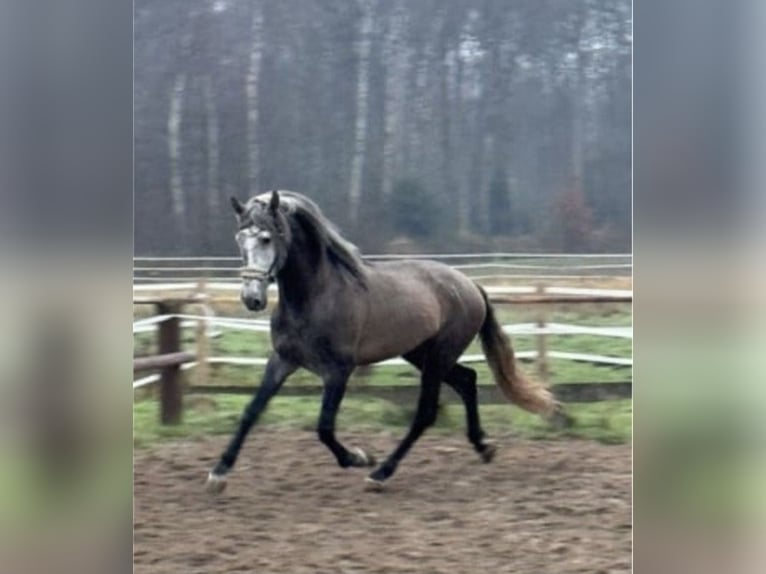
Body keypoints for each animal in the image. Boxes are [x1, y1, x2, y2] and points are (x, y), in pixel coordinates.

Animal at [206, 190, 564, 493]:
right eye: (240, 238)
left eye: (267, 237)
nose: (251, 299)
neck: (315, 296)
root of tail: (470, 285)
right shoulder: (283, 360)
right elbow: (251, 411)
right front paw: (218, 474)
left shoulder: (338, 370)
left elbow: (324, 426)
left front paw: (359, 458)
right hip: (421, 353)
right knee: (467, 380)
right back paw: (484, 447)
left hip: (438, 356)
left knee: (426, 413)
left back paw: (381, 473)